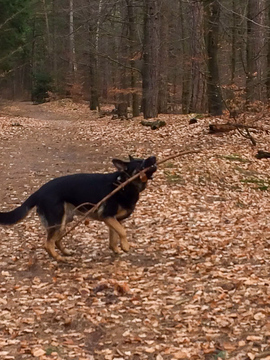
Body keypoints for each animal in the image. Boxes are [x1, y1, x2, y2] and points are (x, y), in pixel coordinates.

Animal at [0, 155, 157, 262]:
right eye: (140, 163)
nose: (153, 157)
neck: (124, 183)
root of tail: (38, 191)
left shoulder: (113, 220)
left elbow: (114, 238)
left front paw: (117, 250)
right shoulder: (108, 216)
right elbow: (123, 232)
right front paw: (125, 246)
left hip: (65, 221)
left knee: (56, 240)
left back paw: (66, 253)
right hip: (58, 221)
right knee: (48, 243)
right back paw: (59, 258)